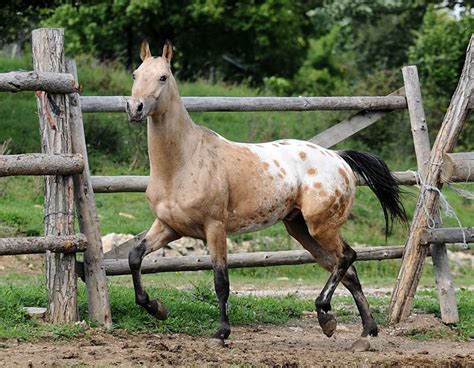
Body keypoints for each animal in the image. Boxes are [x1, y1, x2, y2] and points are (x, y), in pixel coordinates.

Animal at [126, 41, 408, 344]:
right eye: (135, 74)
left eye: (163, 77)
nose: (135, 108)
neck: (183, 161)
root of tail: (338, 158)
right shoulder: (169, 226)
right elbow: (135, 256)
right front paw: (156, 307)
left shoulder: (215, 228)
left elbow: (221, 281)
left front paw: (222, 332)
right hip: (302, 230)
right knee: (348, 270)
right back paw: (364, 328)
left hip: (322, 227)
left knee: (348, 257)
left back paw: (325, 314)